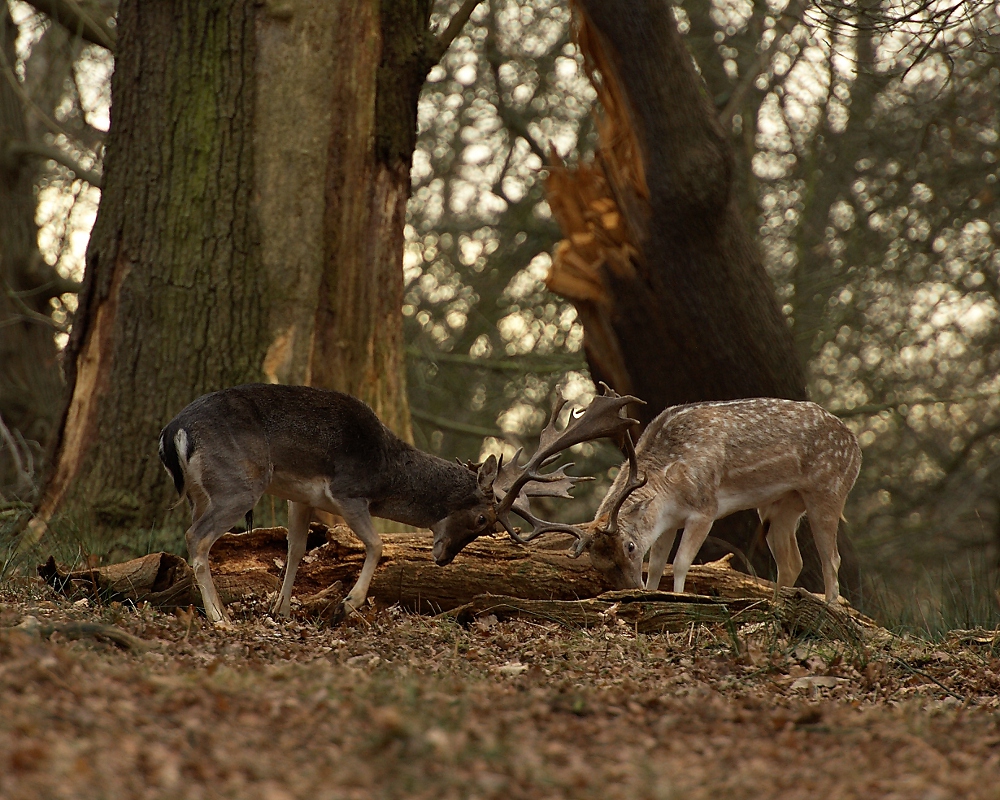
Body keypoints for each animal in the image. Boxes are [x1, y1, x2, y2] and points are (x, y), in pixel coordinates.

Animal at [158, 382, 640, 624]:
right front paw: (347, 605)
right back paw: (219, 617)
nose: (443, 559)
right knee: (196, 538)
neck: (386, 470)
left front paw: (282, 609)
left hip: (205, 491)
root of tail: (174, 431)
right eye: (482, 519)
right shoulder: (350, 492)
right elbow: (376, 545)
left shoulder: (301, 497)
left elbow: (296, 549)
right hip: (240, 483)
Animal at [512, 396, 864, 604]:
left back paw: (832, 610)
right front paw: (653, 593)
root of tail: (857, 446)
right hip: (780, 505)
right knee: (792, 561)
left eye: (629, 546)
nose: (631, 590)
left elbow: (681, 562)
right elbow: (657, 564)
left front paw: (680, 599)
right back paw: (776, 602)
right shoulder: (669, 521)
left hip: (829, 489)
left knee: (831, 559)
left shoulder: (704, 508)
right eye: (598, 564)